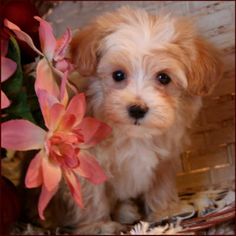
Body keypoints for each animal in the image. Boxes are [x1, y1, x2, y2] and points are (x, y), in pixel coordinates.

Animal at [29, 5, 223, 234]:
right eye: (118, 75)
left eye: (164, 78)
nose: (137, 109)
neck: (133, 134)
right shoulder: (85, 163)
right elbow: (91, 197)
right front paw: (99, 226)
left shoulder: (164, 161)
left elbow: (161, 185)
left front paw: (166, 210)